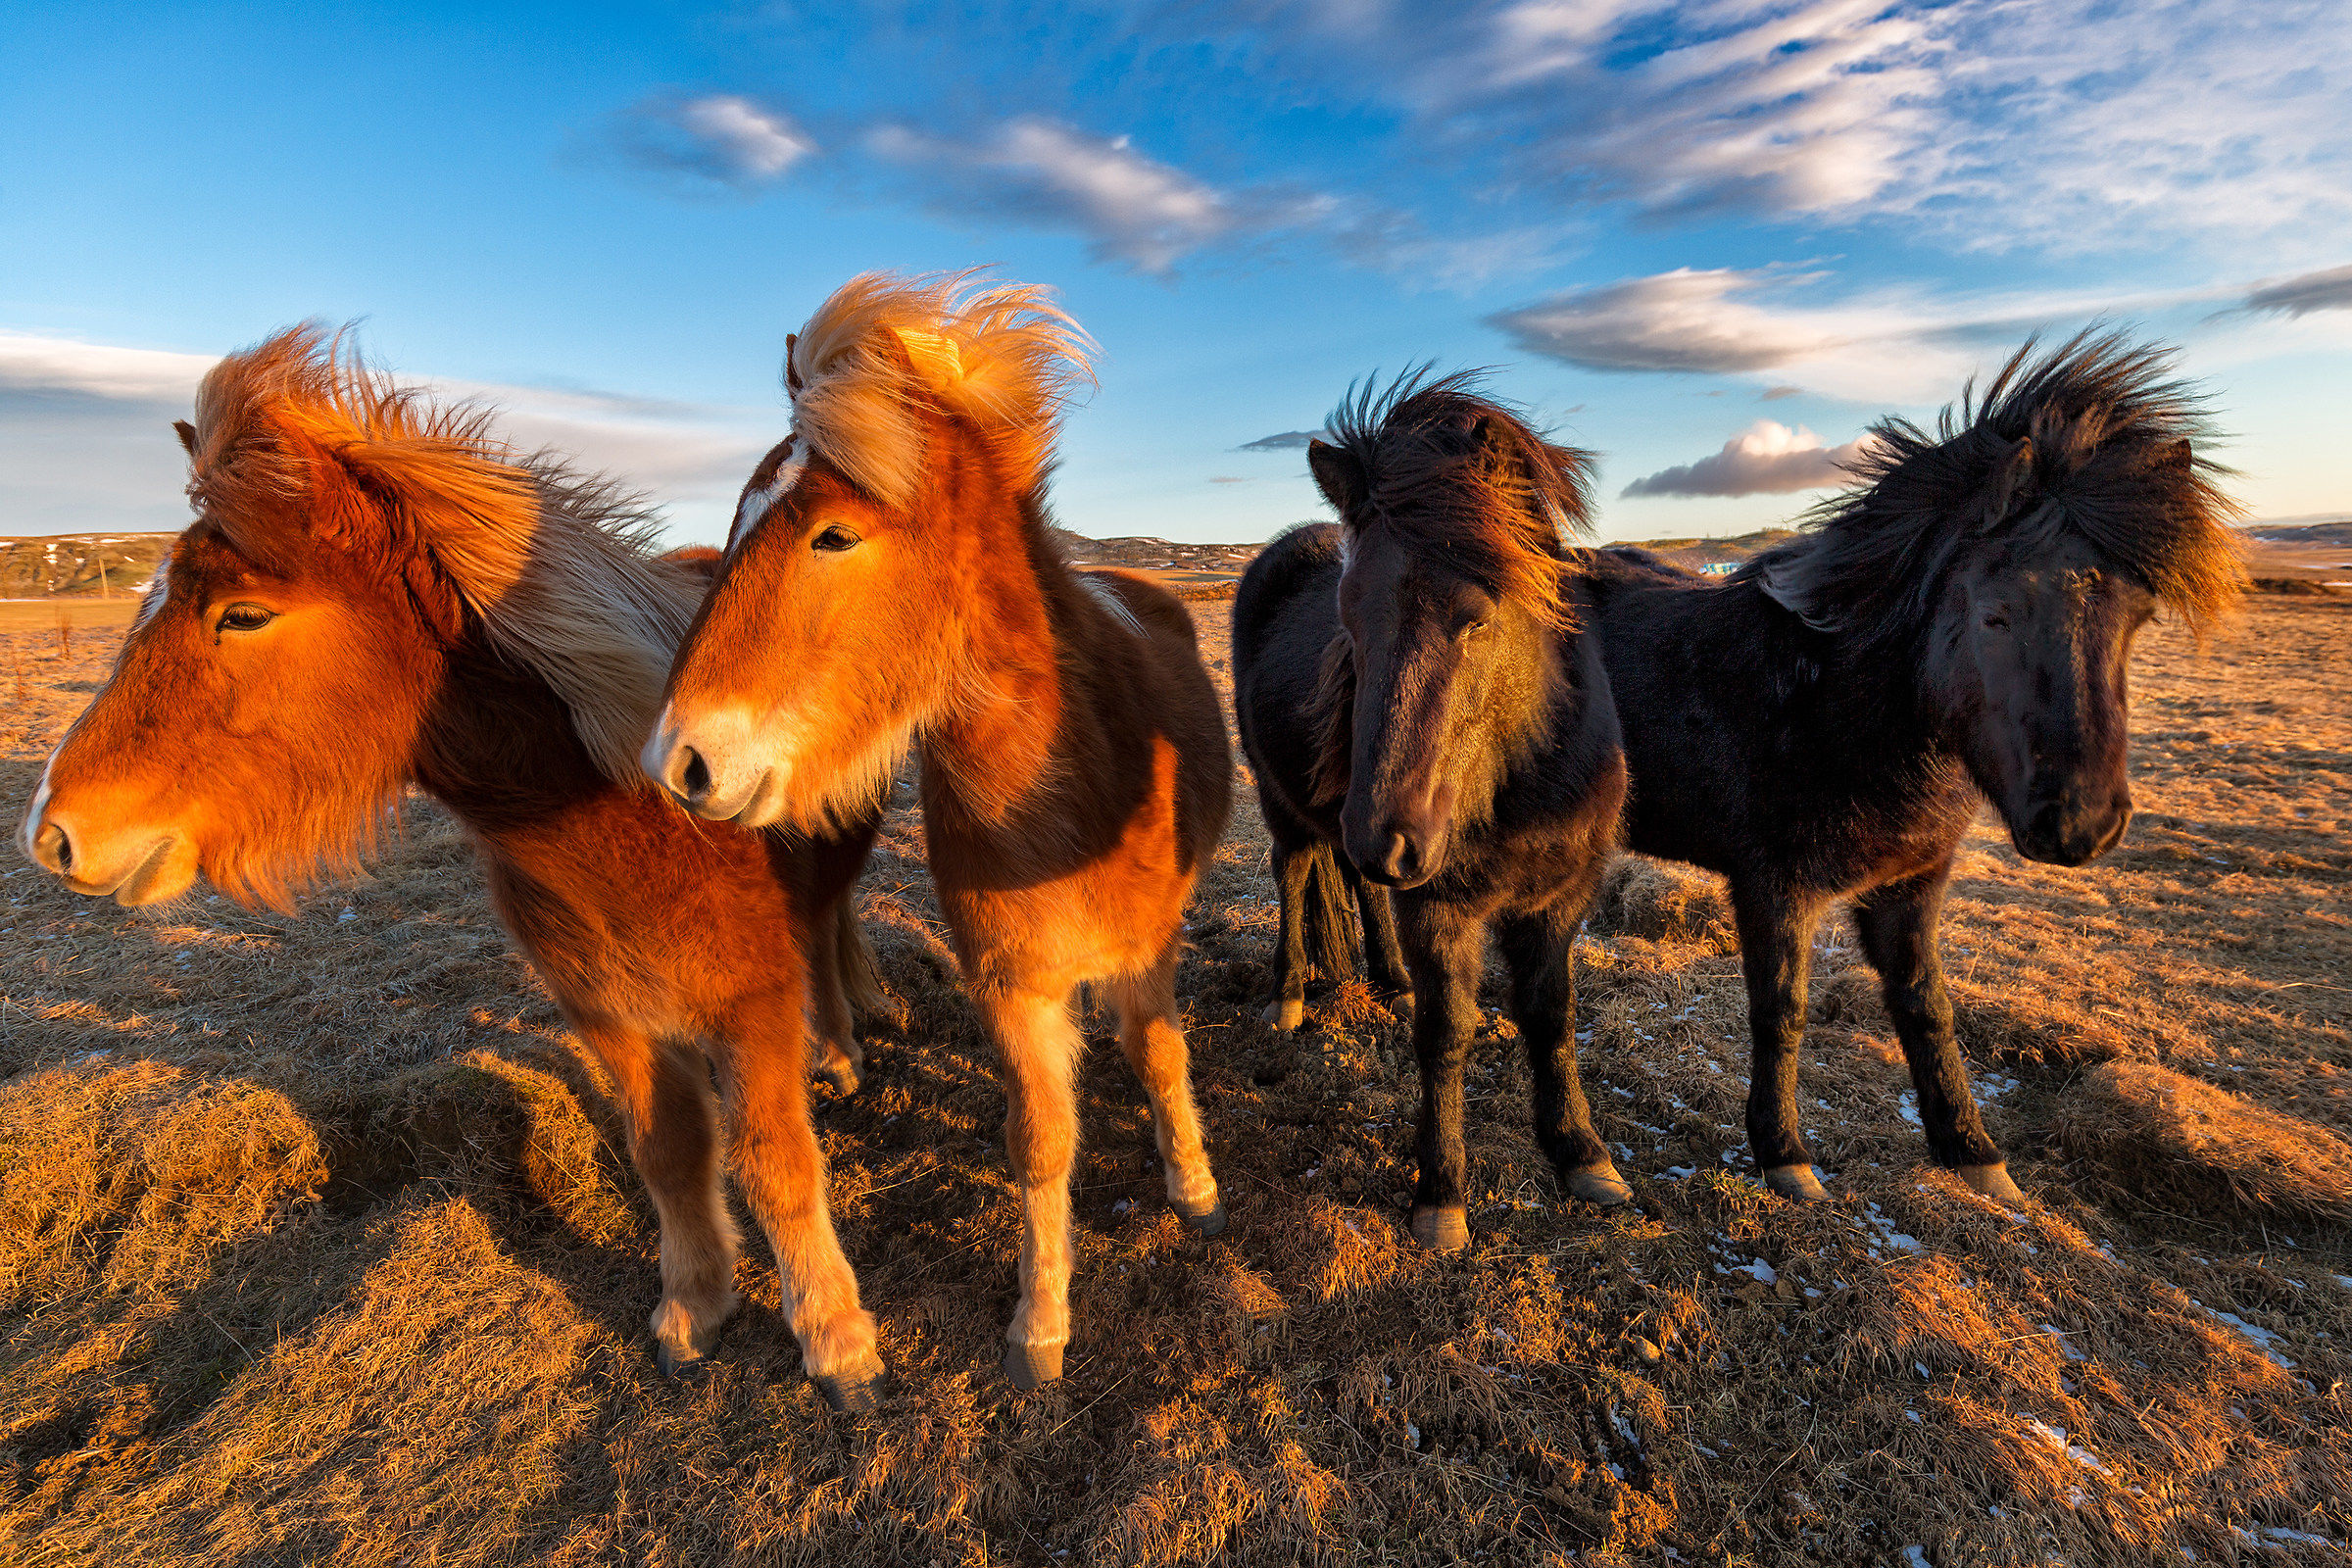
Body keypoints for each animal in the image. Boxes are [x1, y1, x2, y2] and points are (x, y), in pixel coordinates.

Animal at [16, 327, 899, 1411]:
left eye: (242, 615)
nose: (52, 833)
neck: (622, 808)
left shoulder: (752, 1003)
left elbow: (774, 1158)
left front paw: (835, 1340)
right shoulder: (606, 1012)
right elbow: (669, 1150)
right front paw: (695, 1304)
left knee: (830, 918)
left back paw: (845, 1046)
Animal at [642, 274, 1233, 1391]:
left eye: (832, 535)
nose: (679, 764)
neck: (1068, 794)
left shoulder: (1150, 945)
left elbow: (1159, 1055)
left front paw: (1192, 1182)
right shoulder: (1011, 985)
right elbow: (1040, 1141)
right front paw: (1040, 1323)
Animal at [1231, 370, 1630, 1254]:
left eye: (1476, 614)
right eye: (1347, 615)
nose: (1386, 837)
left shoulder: (1561, 899)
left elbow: (1552, 1016)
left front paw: (1582, 1153)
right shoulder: (1443, 905)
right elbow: (1446, 1035)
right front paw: (1441, 1193)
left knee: (1358, 888)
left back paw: (1387, 977)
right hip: (1287, 807)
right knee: (1296, 874)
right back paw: (1290, 995)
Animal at [1585, 330, 2245, 1205]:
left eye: (2139, 618)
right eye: (1996, 614)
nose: (2082, 822)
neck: (1834, 703)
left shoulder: (1912, 885)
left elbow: (1926, 1007)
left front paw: (1971, 1150)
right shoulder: (1773, 885)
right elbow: (1782, 1011)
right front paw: (1784, 1155)